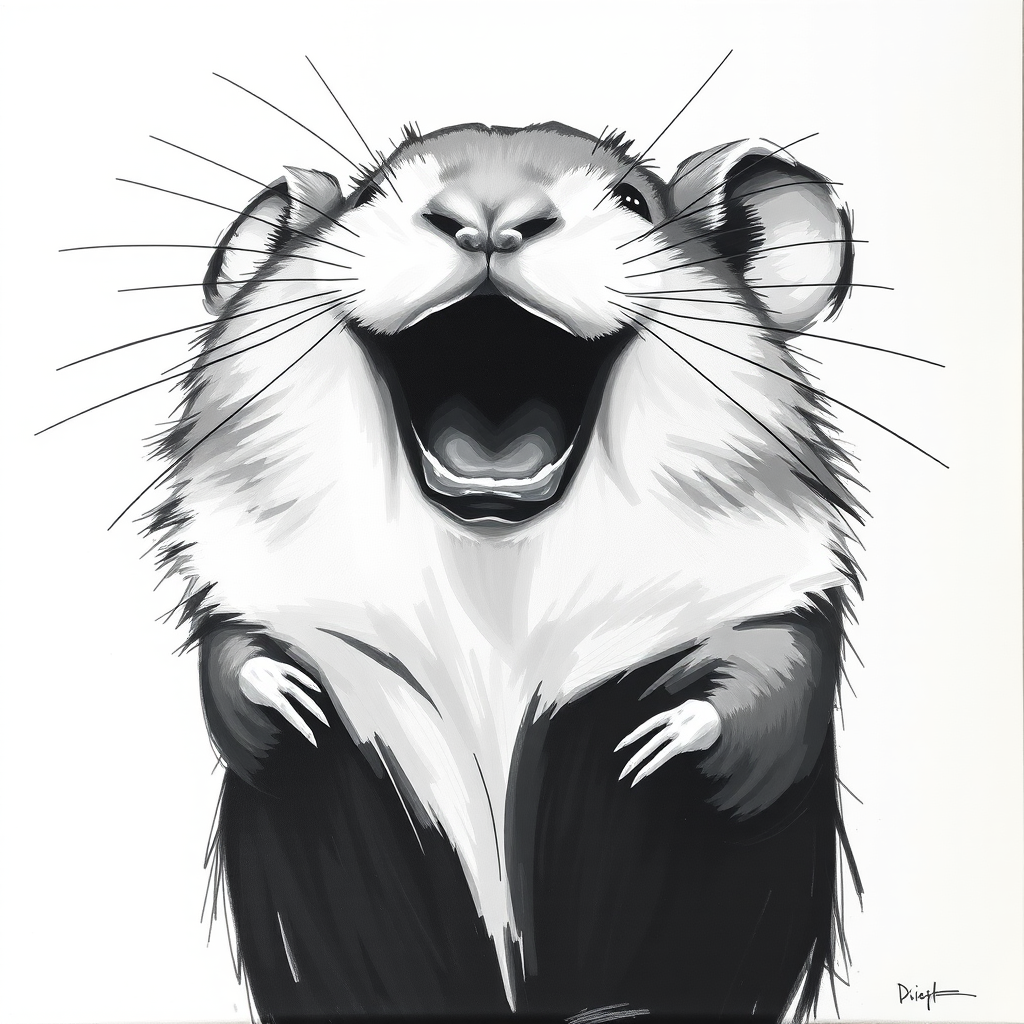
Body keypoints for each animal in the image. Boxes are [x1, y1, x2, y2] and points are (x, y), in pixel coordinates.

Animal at [151, 120, 862, 1021]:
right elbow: (233, 677)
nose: (487, 219)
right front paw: (291, 696)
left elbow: (769, 707)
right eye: (369, 196)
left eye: (635, 200)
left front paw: (658, 742)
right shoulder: (251, 607)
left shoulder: (781, 611)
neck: (494, 597)